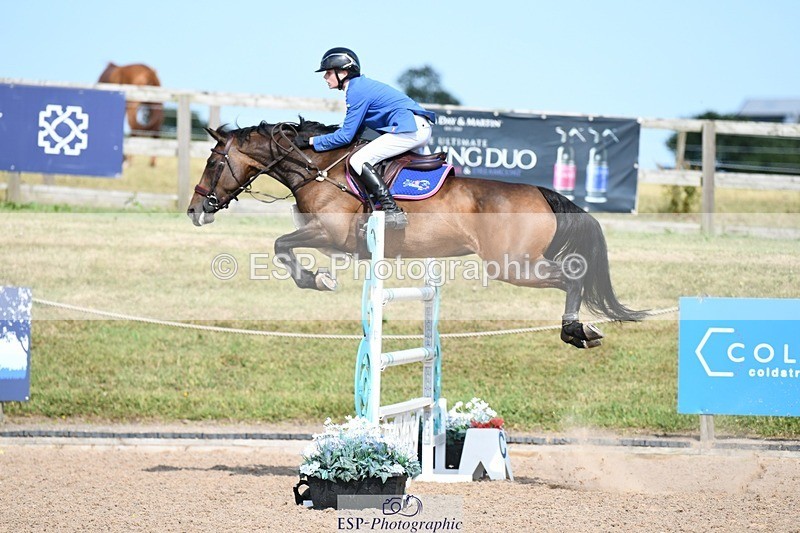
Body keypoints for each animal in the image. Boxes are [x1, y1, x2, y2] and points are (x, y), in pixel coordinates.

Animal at [186, 119, 647, 349]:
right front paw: (319, 278)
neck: (319, 168)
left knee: (572, 276)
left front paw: (318, 280)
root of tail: (542, 192)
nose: (194, 210)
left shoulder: (330, 235)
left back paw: (577, 332)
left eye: (212, 162)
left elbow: (280, 245)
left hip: (511, 265)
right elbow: (282, 246)